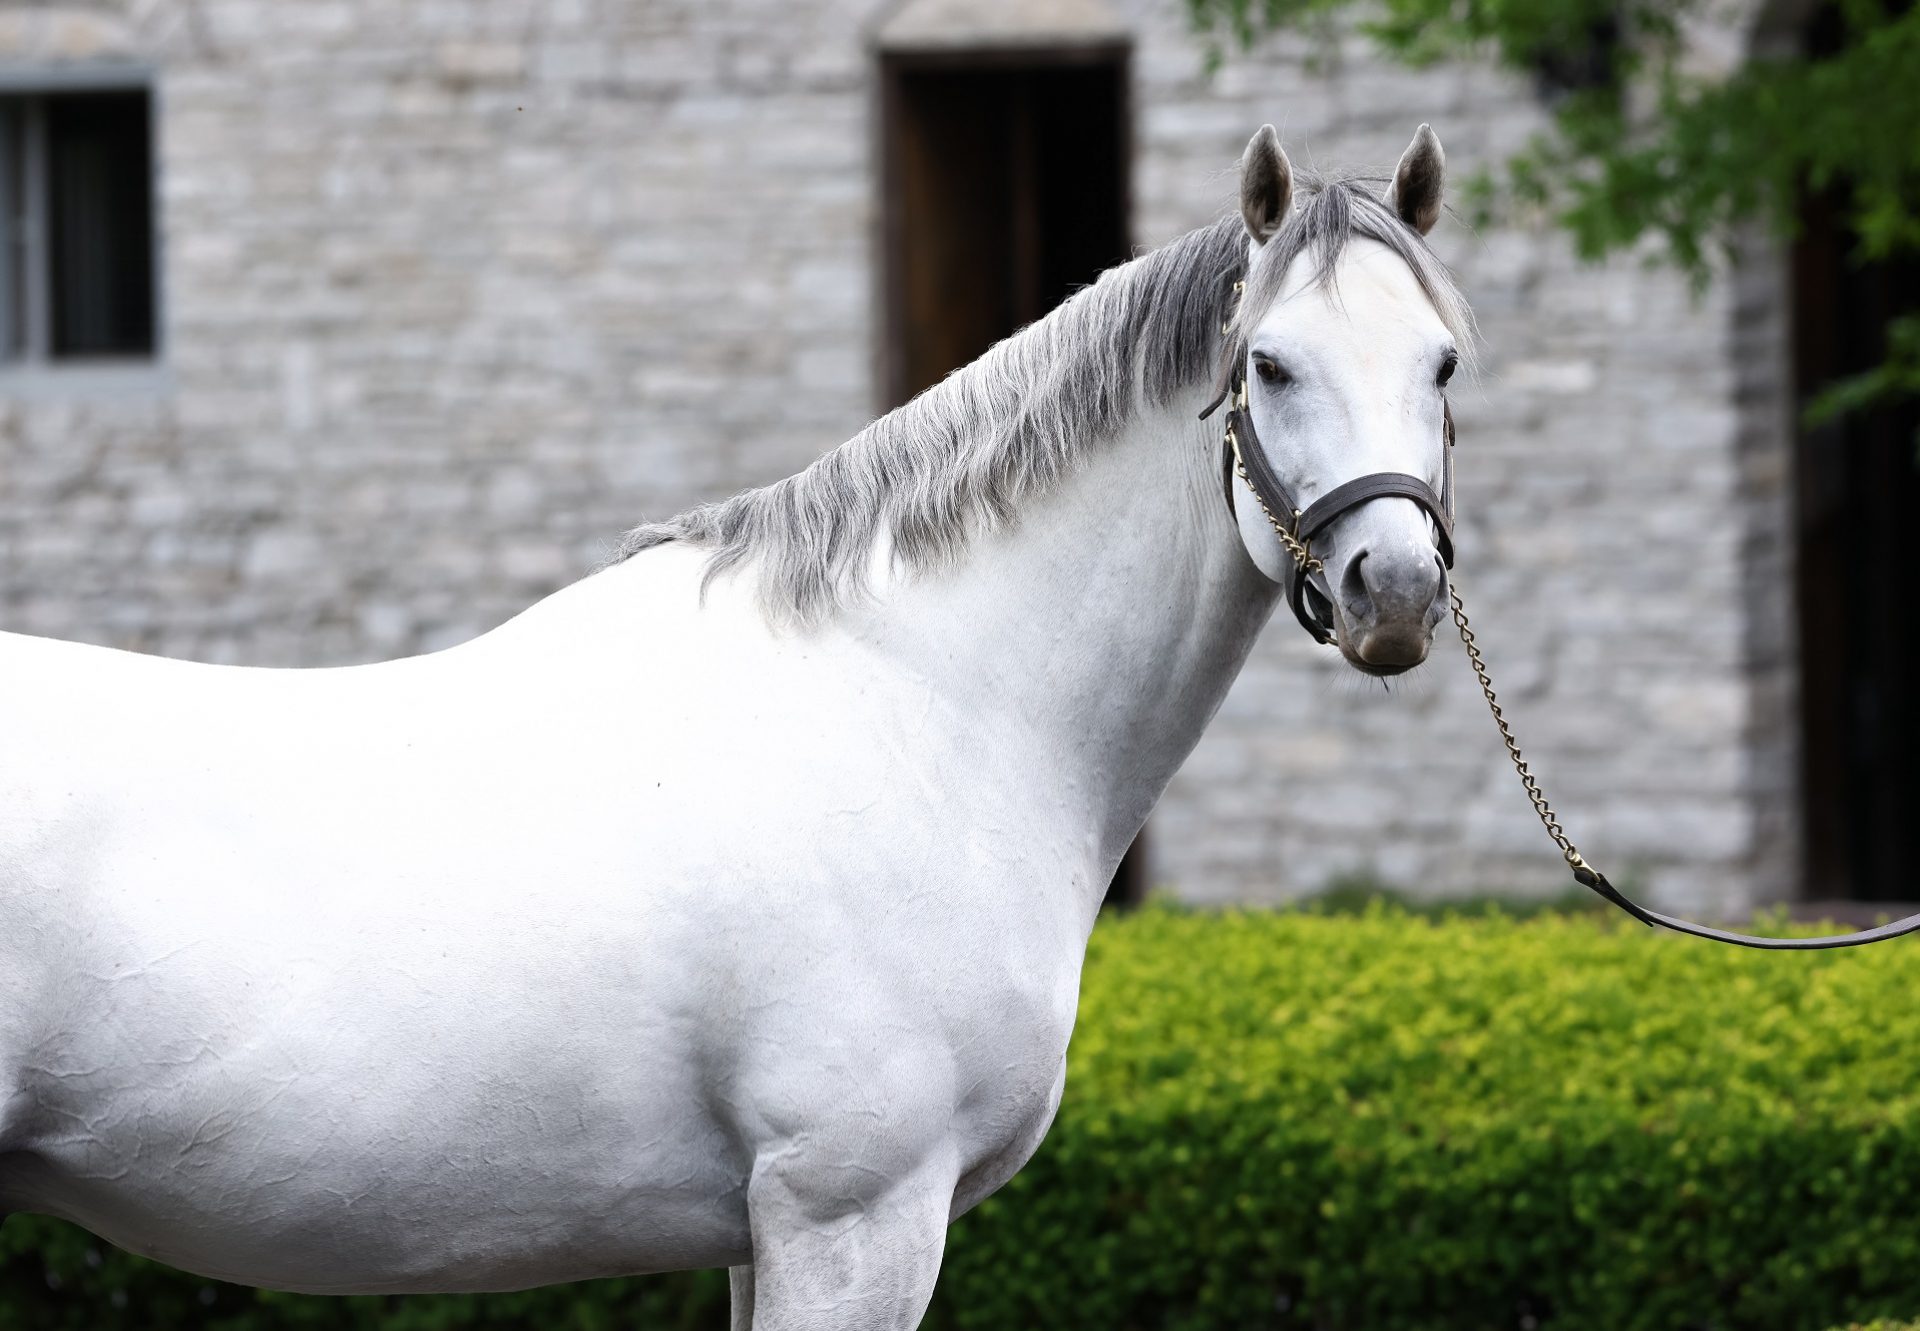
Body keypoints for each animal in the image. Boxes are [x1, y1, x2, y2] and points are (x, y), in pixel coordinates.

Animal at [3, 121, 1466, 1321]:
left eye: (1446, 363)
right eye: (1270, 364)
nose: (1391, 589)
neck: (923, 704)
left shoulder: (767, 1232)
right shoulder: (854, 1213)